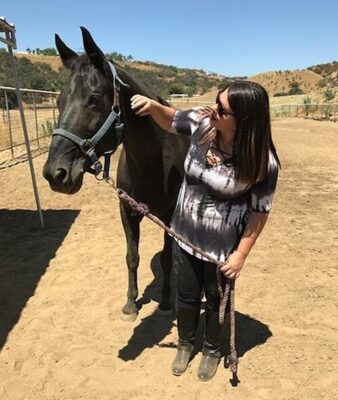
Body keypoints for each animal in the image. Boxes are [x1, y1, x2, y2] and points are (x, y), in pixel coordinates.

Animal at [42, 26, 190, 320]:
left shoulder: (169, 215)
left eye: (94, 99)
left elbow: (167, 259)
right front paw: (131, 304)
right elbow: (132, 257)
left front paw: (166, 303)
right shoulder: (127, 209)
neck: (152, 164)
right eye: (59, 100)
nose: (55, 174)